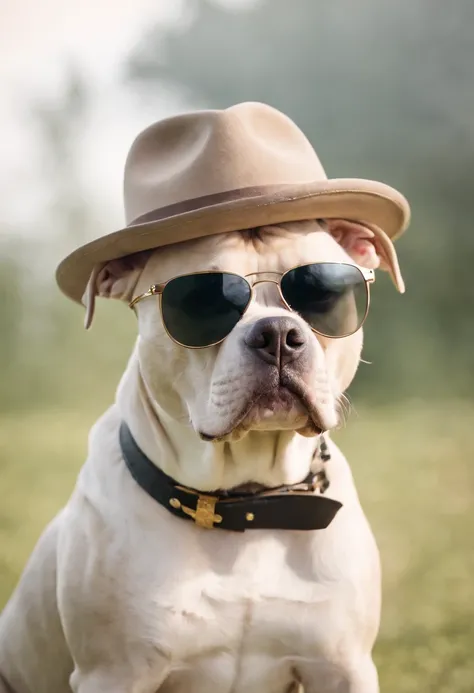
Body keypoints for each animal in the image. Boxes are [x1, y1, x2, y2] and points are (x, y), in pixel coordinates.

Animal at [0, 102, 410, 692]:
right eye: (200, 300)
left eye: (322, 292)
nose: (278, 333)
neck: (246, 506)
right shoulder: (113, 673)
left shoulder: (342, 666)